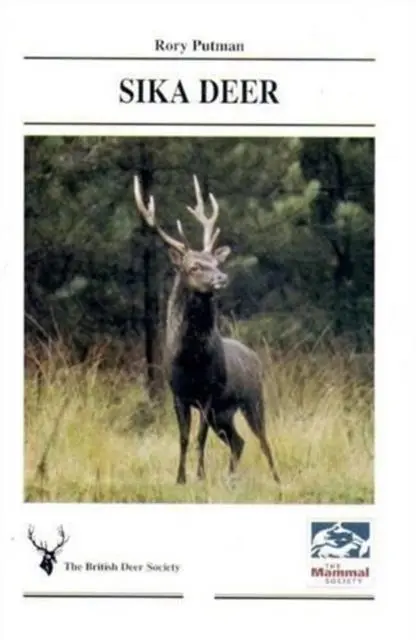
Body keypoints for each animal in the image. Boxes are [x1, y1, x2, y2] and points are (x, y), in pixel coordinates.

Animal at [133, 174, 280, 486]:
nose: (221, 277)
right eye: (194, 266)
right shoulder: (178, 394)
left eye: (215, 262)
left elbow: (199, 438)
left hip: (252, 398)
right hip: (223, 414)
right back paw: (231, 478)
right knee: (238, 441)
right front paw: (180, 478)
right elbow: (184, 438)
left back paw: (276, 479)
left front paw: (199, 476)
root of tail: (254, 356)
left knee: (262, 440)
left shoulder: (208, 393)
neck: (191, 360)